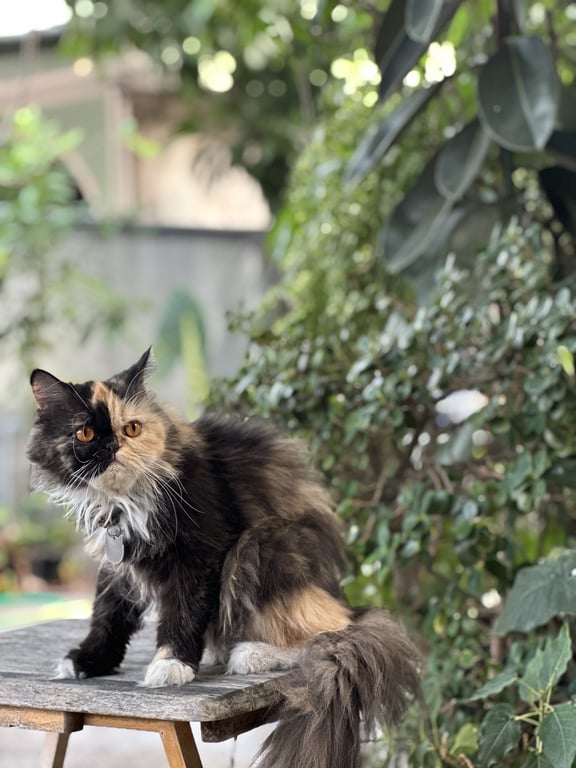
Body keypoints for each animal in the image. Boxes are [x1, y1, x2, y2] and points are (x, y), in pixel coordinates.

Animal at [26, 349, 421, 768]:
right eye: (84, 433)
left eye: (131, 429)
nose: (113, 449)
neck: (124, 504)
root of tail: (344, 599)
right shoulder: (117, 563)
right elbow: (108, 615)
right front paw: (89, 661)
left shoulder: (201, 554)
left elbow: (181, 614)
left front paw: (171, 665)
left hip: (259, 548)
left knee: (327, 633)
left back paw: (249, 653)